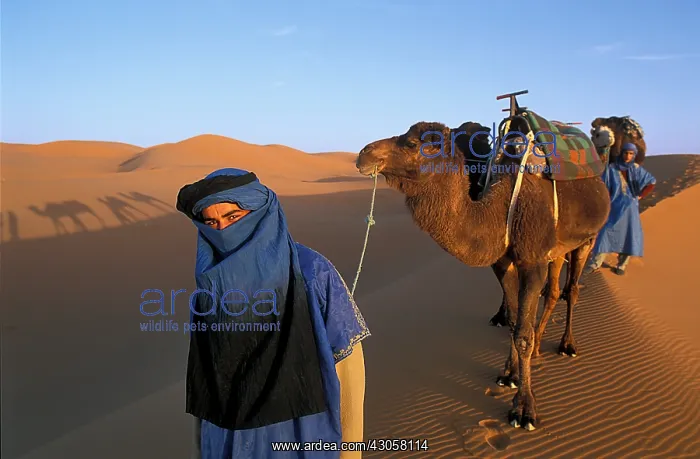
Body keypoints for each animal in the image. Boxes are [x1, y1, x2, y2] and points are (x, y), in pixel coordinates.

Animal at [356, 120, 611, 431]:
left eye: (413, 143)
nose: (364, 154)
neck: (500, 212)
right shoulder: (503, 263)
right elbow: (513, 323)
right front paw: (509, 375)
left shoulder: (532, 261)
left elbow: (522, 334)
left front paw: (524, 409)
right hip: (558, 249)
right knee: (552, 292)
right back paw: (541, 345)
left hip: (587, 239)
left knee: (571, 290)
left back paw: (567, 345)